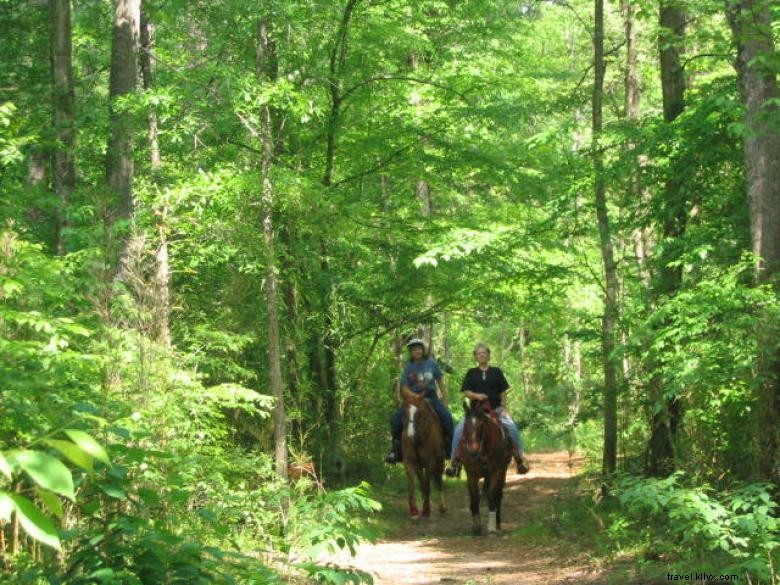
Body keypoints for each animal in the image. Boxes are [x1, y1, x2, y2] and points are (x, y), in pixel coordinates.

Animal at [464, 400, 512, 532]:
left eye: (481, 426)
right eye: (465, 426)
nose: (472, 452)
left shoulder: (496, 472)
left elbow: (492, 497)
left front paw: (491, 527)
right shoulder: (471, 474)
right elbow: (474, 497)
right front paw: (476, 525)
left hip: (502, 472)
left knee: (498, 495)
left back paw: (498, 523)